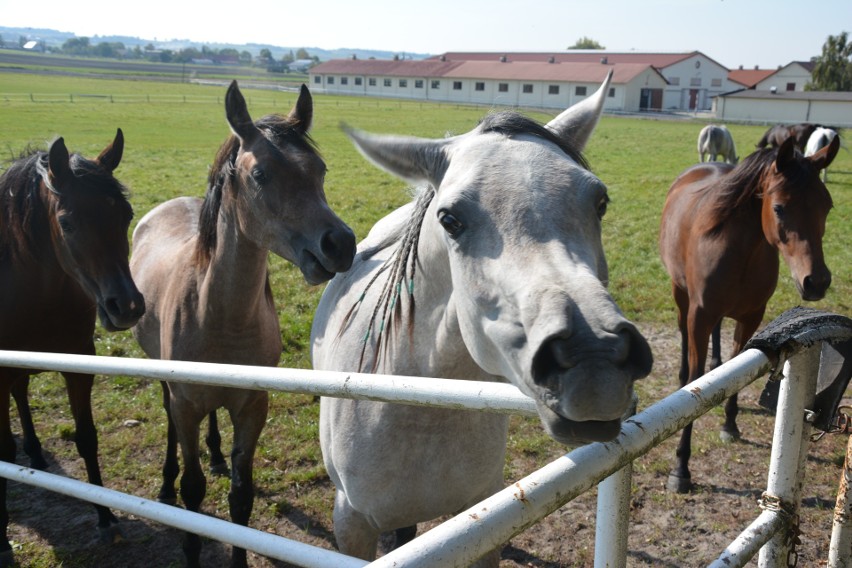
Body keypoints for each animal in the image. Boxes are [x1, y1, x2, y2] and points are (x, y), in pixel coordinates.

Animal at [0, 132, 145, 564]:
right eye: (66, 222)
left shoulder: (79, 366)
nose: (126, 306)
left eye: (126, 214)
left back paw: (35, 451)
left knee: (22, 394)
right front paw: (2, 541)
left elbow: (86, 438)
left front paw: (105, 518)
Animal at [129, 81, 352, 568]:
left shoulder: (253, 407)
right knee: (169, 421)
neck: (219, 316)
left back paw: (214, 454)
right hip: (167, 384)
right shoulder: (186, 404)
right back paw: (166, 481)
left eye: (321, 169)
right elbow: (194, 493)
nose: (341, 244)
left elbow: (240, 497)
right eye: (260, 174)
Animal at [312, 71, 652, 564]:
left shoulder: (483, 524)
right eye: (450, 219)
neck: (415, 410)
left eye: (600, 201)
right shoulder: (351, 523)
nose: (595, 360)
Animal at [660, 133, 840, 492]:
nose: (816, 281)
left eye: (826, 206)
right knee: (684, 336)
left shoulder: (751, 317)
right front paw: (681, 467)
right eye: (779, 207)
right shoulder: (699, 316)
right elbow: (695, 382)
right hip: (681, 294)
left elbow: (736, 366)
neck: (739, 251)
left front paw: (729, 424)